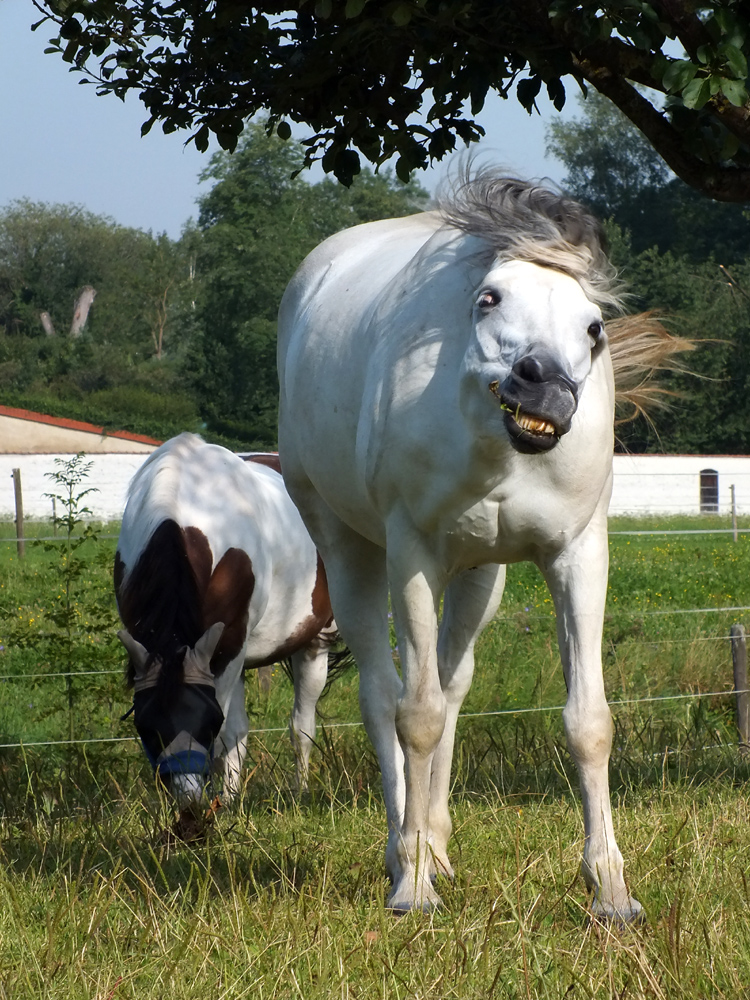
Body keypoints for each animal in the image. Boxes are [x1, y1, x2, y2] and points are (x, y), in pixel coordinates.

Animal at [116, 434, 340, 808]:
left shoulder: (230, 646)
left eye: (207, 722)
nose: (189, 801)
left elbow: (227, 733)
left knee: (302, 725)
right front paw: (228, 800)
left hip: (312, 641)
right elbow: (234, 731)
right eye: (148, 728)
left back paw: (300, 792)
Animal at [280, 174, 688, 920]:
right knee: (384, 693)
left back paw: (437, 847)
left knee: (452, 683)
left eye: (593, 327)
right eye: (489, 298)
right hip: (351, 550)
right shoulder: (412, 556)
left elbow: (588, 721)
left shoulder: (578, 557)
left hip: (478, 578)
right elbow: (415, 716)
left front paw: (612, 892)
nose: (544, 385)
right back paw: (404, 854)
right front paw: (413, 886)